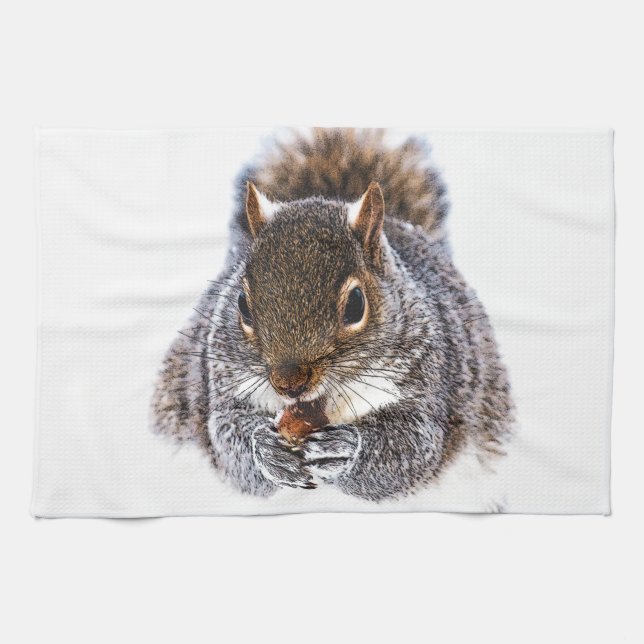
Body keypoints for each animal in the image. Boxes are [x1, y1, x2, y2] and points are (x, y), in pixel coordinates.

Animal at [151, 128, 514, 501]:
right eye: (242, 304)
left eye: (355, 304)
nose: (289, 383)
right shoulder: (224, 384)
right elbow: (229, 440)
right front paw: (265, 450)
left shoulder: (426, 387)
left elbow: (411, 448)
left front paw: (345, 450)